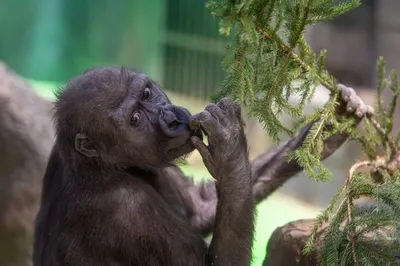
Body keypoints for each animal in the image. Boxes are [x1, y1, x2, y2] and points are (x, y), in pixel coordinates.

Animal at [33, 67, 253, 266]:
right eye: (135, 118)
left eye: (146, 94)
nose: (171, 119)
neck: (99, 166)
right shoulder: (128, 207)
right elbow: (215, 262)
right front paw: (229, 149)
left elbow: (200, 209)